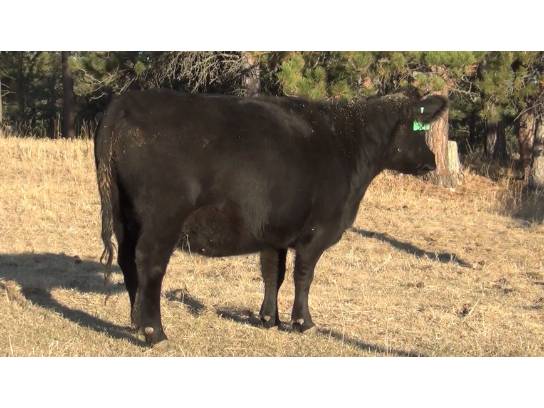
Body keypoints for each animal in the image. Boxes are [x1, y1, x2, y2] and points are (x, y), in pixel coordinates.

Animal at [94, 89, 446, 345]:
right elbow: (303, 276)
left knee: (128, 262)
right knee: (149, 264)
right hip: (163, 218)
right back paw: (154, 332)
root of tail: (127, 100)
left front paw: (268, 319)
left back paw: (135, 322)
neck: (348, 144)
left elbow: (272, 274)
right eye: (420, 130)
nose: (432, 162)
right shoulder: (316, 232)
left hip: (125, 215)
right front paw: (303, 322)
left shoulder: (273, 230)